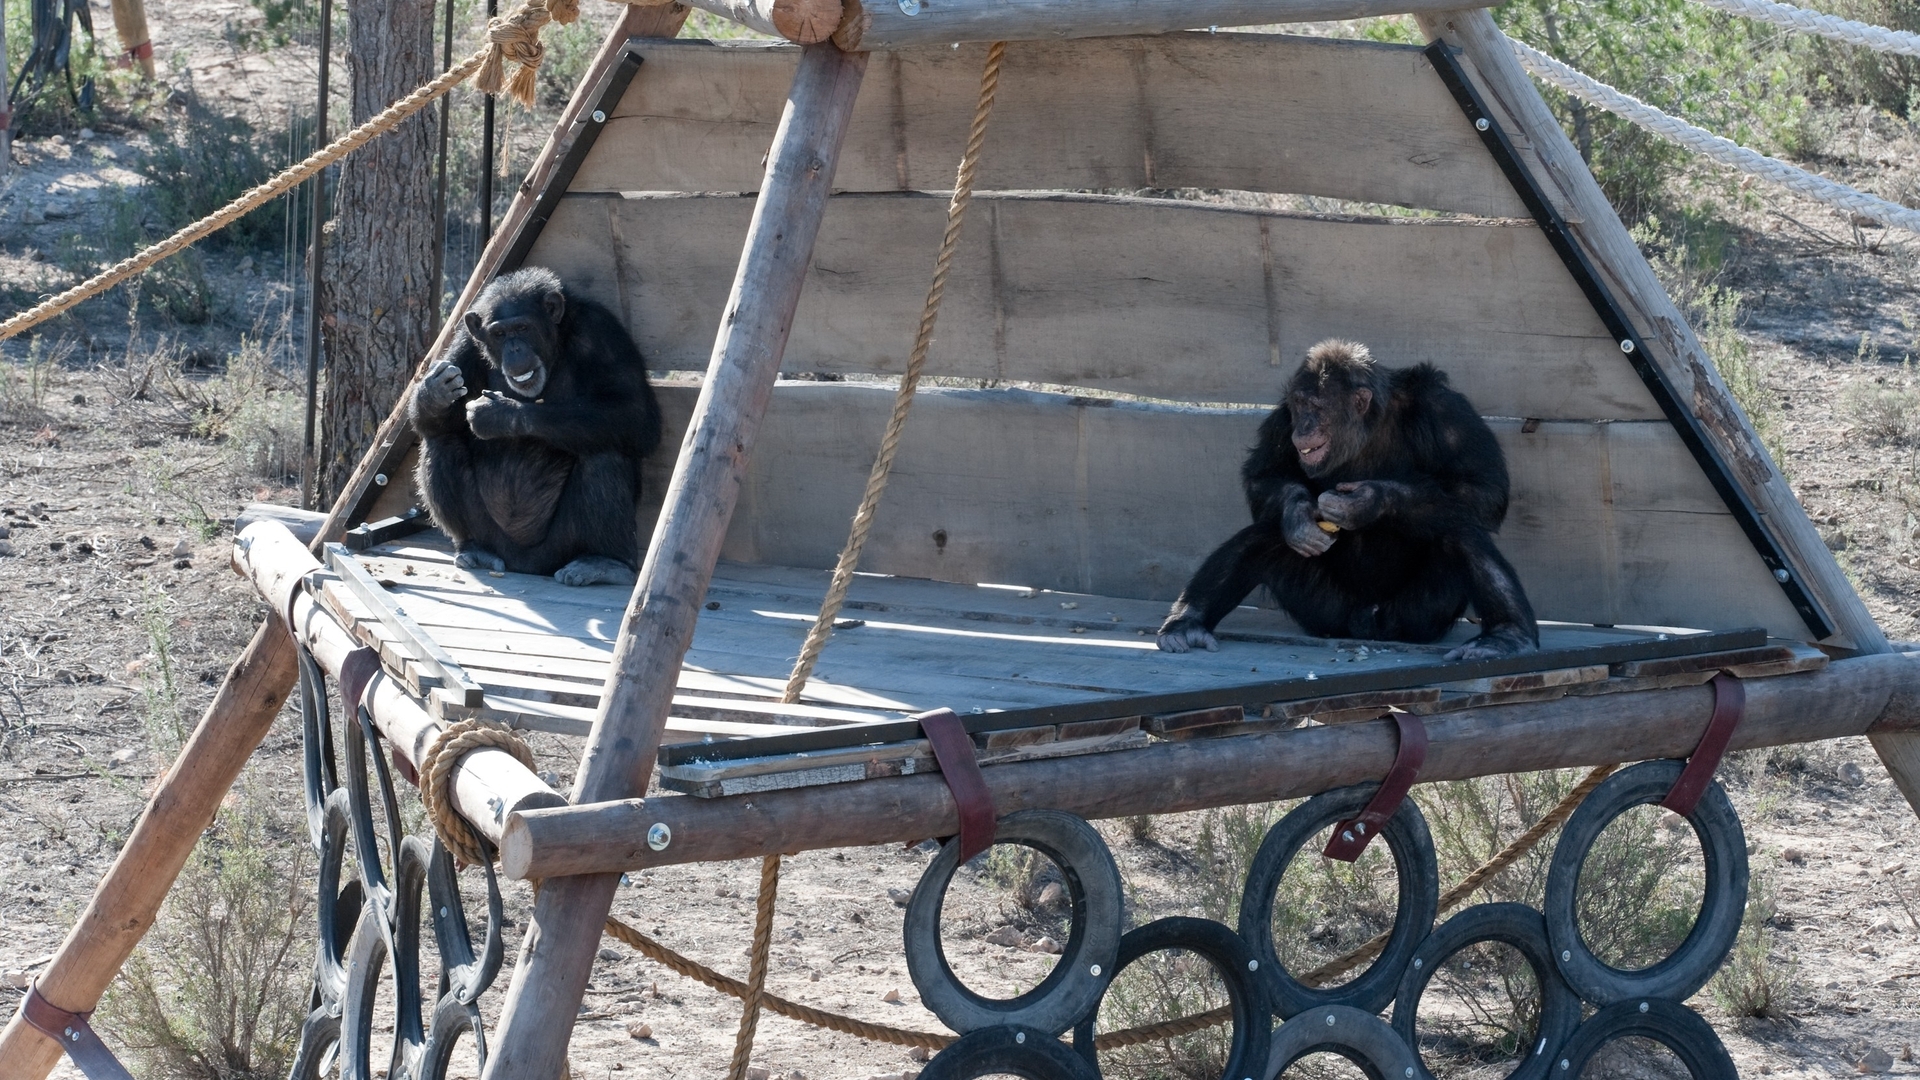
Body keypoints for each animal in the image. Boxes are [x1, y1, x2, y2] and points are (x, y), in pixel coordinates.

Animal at [408, 265, 664, 584]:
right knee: (441, 440)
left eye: (523, 328)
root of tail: (525, 565)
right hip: (494, 535)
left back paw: (605, 561)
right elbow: (425, 421)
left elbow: (634, 412)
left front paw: (501, 415)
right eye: (499, 333)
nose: (514, 348)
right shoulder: (465, 342)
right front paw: (435, 392)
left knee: (605, 454)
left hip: (560, 545)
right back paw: (475, 548)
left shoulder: (602, 332)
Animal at [1152, 338, 1543, 657]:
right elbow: (1264, 475)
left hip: (1415, 617)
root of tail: (1365, 624)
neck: (1365, 430)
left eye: (1317, 407)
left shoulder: (1446, 411)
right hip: (1325, 610)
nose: (1303, 426)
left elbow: (1482, 487)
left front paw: (1369, 501)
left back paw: (1508, 636)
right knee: (1260, 536)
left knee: (1459, 526)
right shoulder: (1281, 418)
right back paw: (1187, 624)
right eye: (1299, 404)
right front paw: (1299, 514)